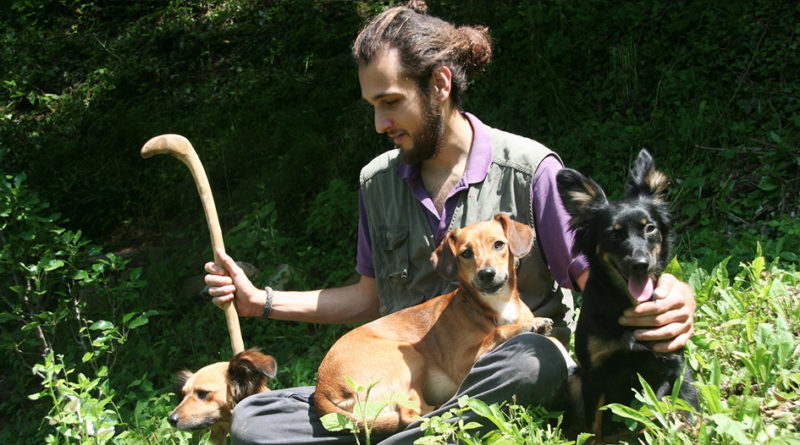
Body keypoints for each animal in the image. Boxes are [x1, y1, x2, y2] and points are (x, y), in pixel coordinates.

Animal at [314, 213, 556, 432]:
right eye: (466, 253)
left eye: (499, 244)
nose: (486, 274)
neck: (491, 307)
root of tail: (321, 389)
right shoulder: (463, 363)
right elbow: (496, 332)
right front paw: (527, 325)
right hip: (411, 358)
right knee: (410, 415)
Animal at [556, 149, 700, 438]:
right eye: (613, 234)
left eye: (650, 228)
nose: (640, 264)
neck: (627, 302)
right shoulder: (594, 374)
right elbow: (594, 428)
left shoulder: (667, 365)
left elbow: (655, 411)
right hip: (576, 379)